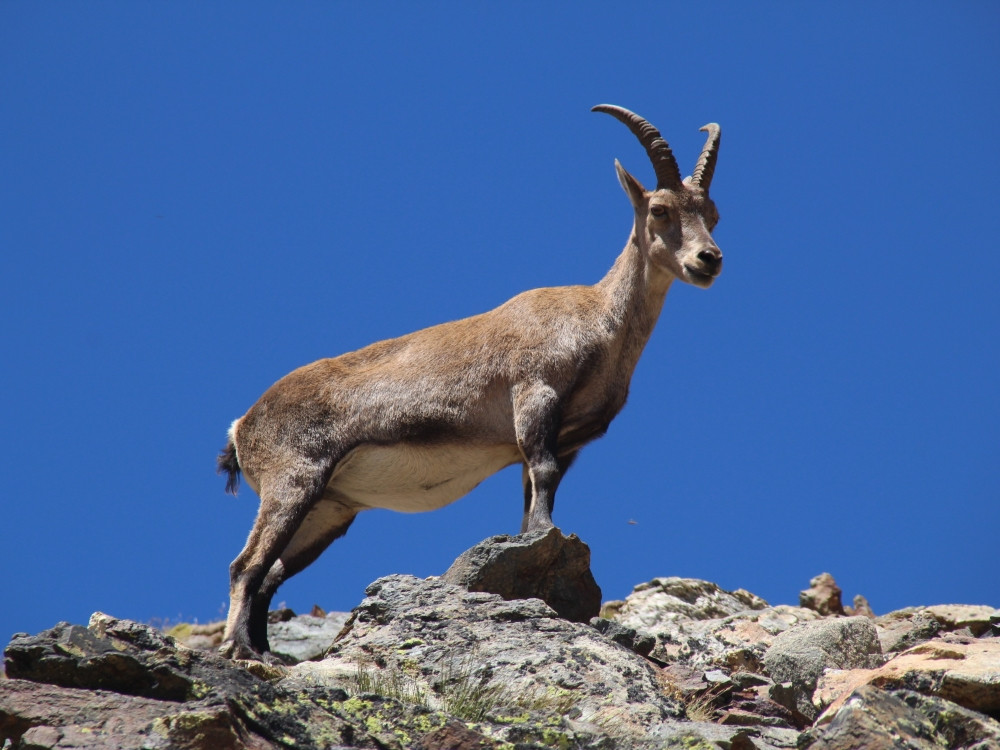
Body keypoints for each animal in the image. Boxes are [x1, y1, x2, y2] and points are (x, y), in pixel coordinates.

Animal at [219, 103, 724, 660]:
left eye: (713, 215)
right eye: (660, 210)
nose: (708, 259)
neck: (598, 322)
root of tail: (241, 427)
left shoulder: (567, 439)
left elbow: (534, 490)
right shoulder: (535, 393)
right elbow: (542, 472)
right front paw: (544, 540)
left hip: (329, 510)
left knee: (270, 575)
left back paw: (265, 650)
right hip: (292, 481)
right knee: (245, 566)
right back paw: (239, 648)